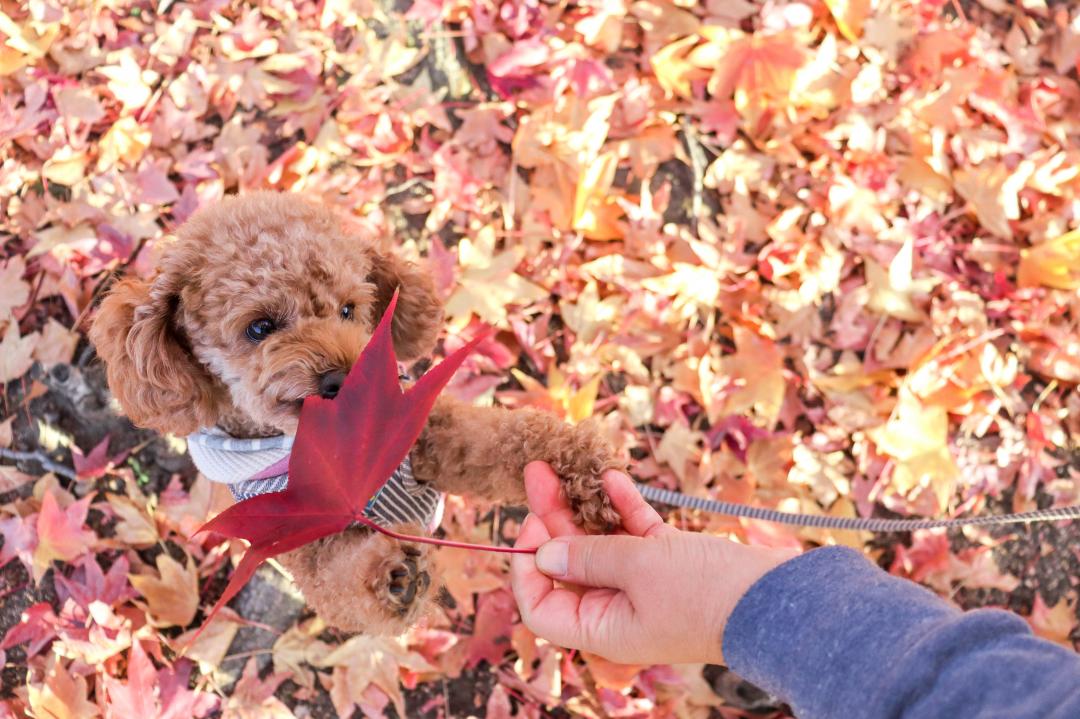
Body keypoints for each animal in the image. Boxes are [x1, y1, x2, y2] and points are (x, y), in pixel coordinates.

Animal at [88, 190, 622, 634]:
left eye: (348, 310)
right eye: (259, 327)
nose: (341, 379)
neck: (320, 439)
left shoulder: (426, 435)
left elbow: (498, 440)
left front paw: (583, 471)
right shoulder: (288, 536)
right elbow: (338, 584)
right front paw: (395, 577)